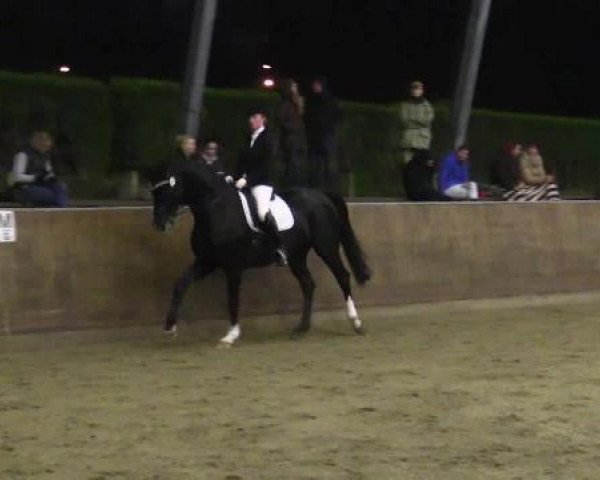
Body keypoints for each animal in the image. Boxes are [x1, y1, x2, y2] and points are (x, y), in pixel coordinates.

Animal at [151, 162, 370, 344]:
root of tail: (322, 196)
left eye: (168, 191)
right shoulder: (206, 262)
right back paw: (301, 329)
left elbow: (233, 298)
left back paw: (356, 322)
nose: (159, 224)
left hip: (325, 247)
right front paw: (170, 328)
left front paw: (231, 335)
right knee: (308, 285)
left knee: (342, 276)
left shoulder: (233, 266)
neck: (216, 209)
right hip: (296, 256)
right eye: (155, 193)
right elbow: (181, 284)